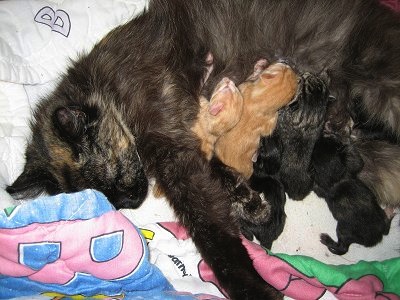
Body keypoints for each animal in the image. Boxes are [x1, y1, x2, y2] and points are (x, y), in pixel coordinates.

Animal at [6, 1, 400, 298]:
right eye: (111, 202)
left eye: (117, 177)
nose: (133, 200)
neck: (105, 87)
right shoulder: (189, 146)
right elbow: (223, 177)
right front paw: (252, 205)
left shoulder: (173, 149)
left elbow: (210, 231)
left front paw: (251, 288)